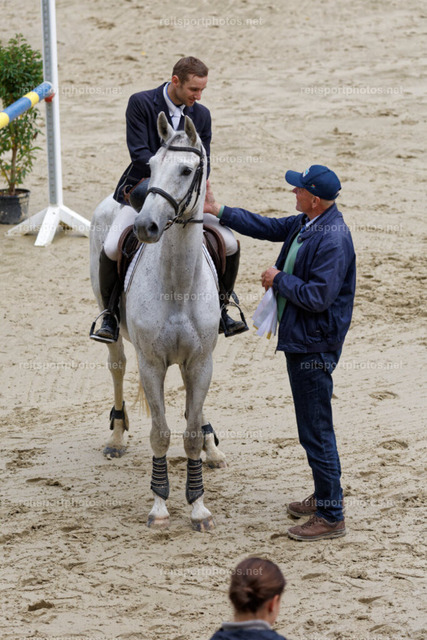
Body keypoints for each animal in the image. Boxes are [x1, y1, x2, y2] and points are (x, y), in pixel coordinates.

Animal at [89, 112, 226, 531]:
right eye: (149, 166)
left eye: (187, 169)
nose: (144, 227)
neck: (178, 285)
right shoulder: (151, 364)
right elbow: (161, 434)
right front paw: (160, 505)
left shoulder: (200, 361)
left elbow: (191, 432)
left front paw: (199, 506)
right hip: (112, 327)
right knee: (117, 366)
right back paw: (117, 438)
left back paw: (212, 446)